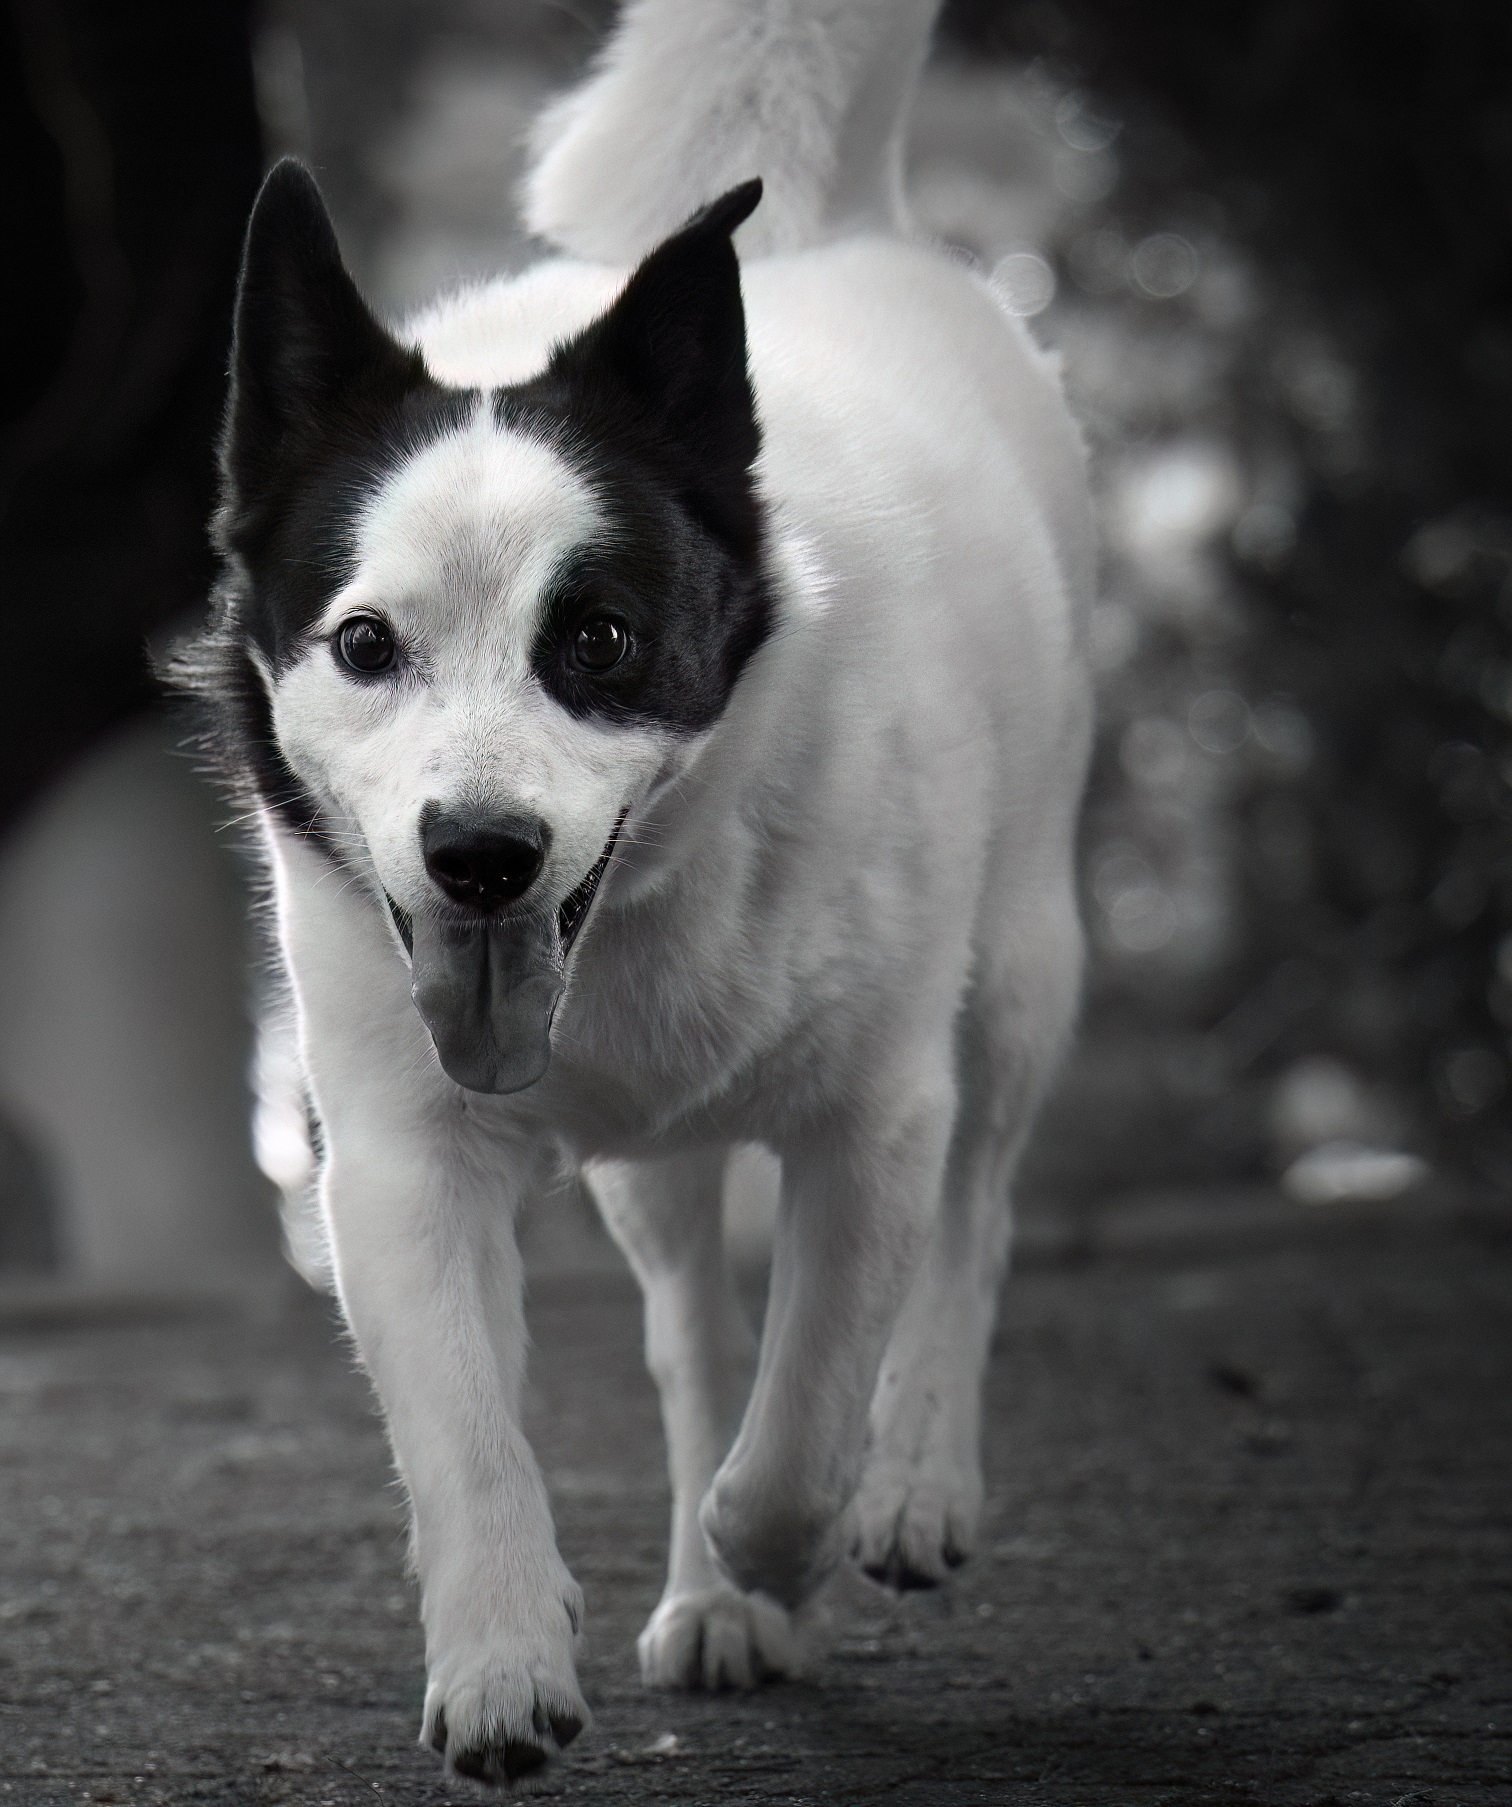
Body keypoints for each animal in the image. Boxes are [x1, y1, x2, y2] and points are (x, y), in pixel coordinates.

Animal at [170, 0, 1091, 1785]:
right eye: (363, 643)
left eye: (595, 638)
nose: (479, 853)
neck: (641, 919)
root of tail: (833, 230)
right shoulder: (401, 1157)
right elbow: (473, 1430)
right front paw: (507, 1660)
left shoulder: (877, 1118)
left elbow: (808, 1413)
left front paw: (782, 1535)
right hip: (654, 1178)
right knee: (691, 1331)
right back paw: (711, 1590)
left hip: (1022, 965)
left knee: (980, 1216)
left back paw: (908, 1486)